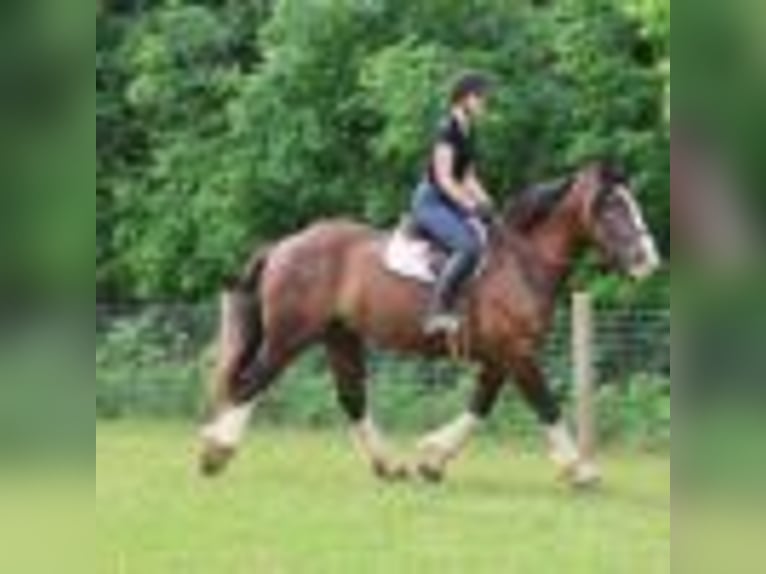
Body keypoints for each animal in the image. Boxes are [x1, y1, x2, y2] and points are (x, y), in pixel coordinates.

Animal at [199, 160, 661, 486]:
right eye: (613, 206)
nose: (648, 260)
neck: (522, 261)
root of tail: (284, 245)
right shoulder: (518, 352)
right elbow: (545, 404)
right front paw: (580, 470)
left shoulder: (502, 355)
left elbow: (480, 405)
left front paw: (434, 459)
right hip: (289, 337)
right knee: (253, 382)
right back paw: (216, 451)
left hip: (340, 337)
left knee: (352, 399)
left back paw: (388, 465)